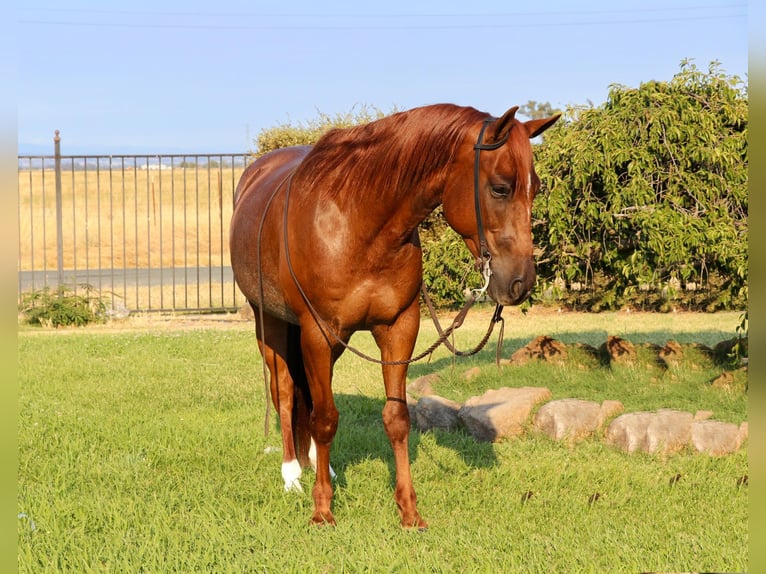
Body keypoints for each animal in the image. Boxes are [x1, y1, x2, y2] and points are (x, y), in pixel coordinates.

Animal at [229, 103, 559, 529]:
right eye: (500, 188)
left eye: (536, 188)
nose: (520, 282)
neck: (358, 222)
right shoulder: (317, 331)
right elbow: (324, 418)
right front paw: (322, 511)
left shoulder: (399, 327)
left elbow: (395, 418)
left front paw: (409, 511)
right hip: (271, 325)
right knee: (286, 393)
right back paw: (292, 474)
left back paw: (321, 465)